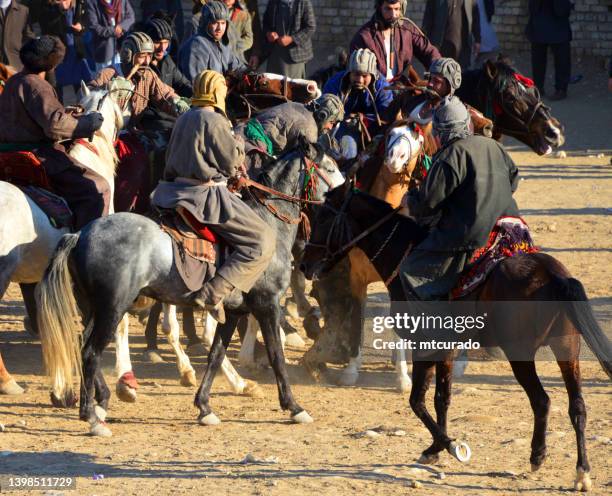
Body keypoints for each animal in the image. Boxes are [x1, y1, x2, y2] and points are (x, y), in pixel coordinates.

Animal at [35, 142, 346, 434]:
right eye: (330, 168)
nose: (341, 198)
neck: (268, 224)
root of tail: (80, 234)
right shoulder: (267, 304)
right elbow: (276, 355)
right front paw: (294, 407)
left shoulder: (233, 312)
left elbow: (216, 354)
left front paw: (204, 407)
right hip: (113, 308)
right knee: (90, 352)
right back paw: (92, 416)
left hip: (93, 308)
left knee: (83, 347)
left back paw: (103, 401)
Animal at [302, 182, 612, 492]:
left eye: (323, 218)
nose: (305, 264)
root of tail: (552, 274)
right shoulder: (446, 348)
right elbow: (442, 398)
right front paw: (436, 448)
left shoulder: (427, 346)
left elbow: (419, 399)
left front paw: (450, 446)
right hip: (567, 348)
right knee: (577, 407)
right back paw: (581, 472)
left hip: (521, 354)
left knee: (542, 400)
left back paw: (538, 455)